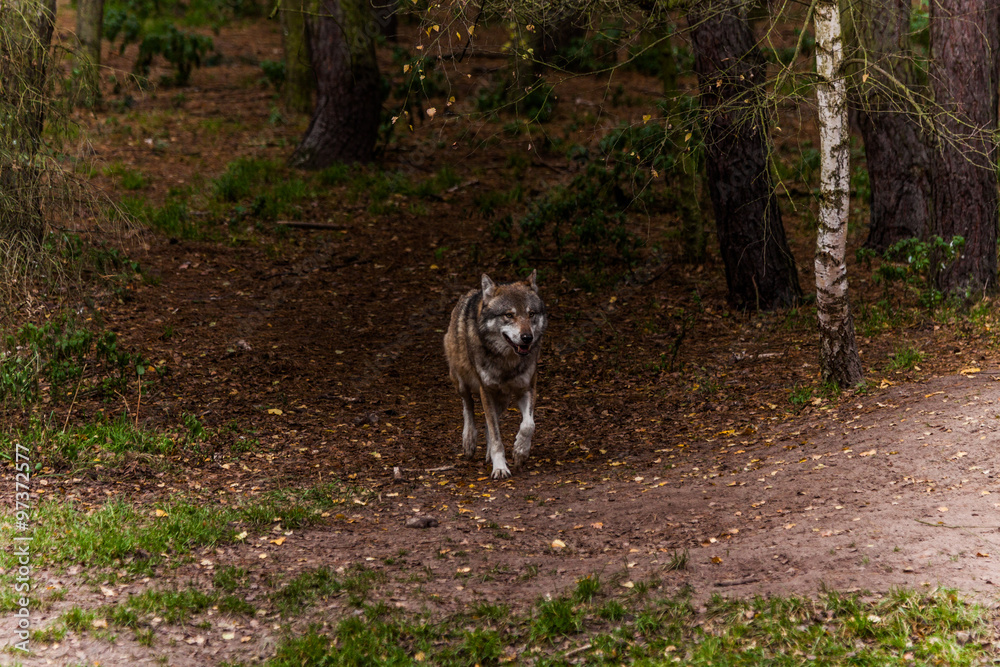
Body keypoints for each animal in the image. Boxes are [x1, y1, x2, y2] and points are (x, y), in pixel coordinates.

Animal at [444, 270, 548, 479]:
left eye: (531, 314)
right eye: (509, 315)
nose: (527, 338)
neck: (507, 361)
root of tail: (470, 293)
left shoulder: (527, 388)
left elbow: (528, 425)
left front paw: (520, 451)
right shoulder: (486, 391)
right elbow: (496, 436)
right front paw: (500, 467)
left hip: (502, 400)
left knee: (488, 423)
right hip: (461, 382)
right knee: (468, 406)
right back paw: (469, 440)